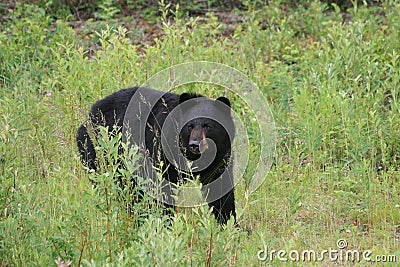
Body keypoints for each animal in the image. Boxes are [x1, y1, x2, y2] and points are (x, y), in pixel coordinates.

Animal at [76, 87, 236, 225]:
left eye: (208, 126)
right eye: (189, 126)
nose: (195, 145)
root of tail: (90, 113)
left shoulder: (220, 157)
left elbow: (221, 190)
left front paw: (229, 225)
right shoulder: (162, 152)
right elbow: (162, 188)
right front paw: (166, 222)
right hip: (98, 151)